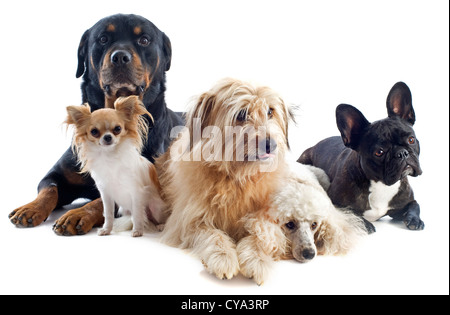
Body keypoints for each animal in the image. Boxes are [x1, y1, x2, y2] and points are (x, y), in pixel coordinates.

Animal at [66, 95, 166, 237]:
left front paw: (137, 231)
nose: (108, 137)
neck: (110, 156)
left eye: (118, 129)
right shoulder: (106, 194)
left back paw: (161, 225)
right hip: (125, 209)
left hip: (155, 206)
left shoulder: (137, 193)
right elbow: (108, 214)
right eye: (94, 132)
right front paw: (106, 230)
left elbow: (137, 214)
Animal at [158, 78, 296, 280]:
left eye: (270, 111)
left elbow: (261, 234)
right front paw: (223, 257)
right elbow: (213, 235)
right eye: (241, 114)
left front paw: (257, 259)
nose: (270, 144)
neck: (237, 178)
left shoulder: (270, 220)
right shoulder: (188, 221)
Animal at [298, 82, 422, 233]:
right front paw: (364, 224)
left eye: (411, 140)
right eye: (379, 152)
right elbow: (350, 212)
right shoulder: (335, 203)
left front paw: (414, 220)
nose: (402, 153)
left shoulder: (405, 202)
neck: (380, 184)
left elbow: (415, 205)